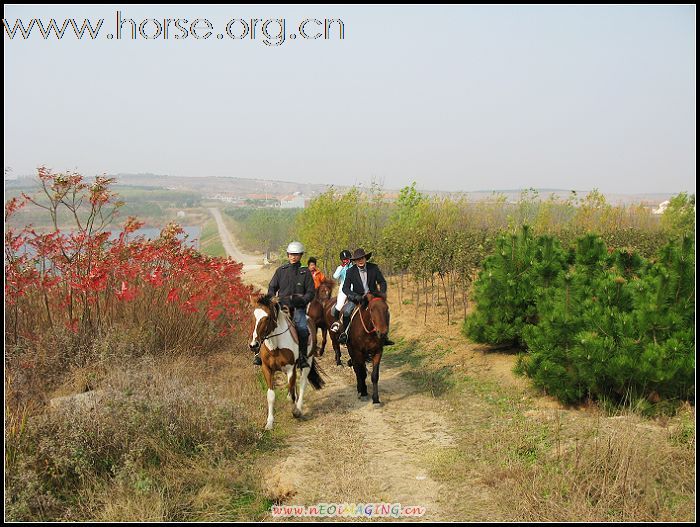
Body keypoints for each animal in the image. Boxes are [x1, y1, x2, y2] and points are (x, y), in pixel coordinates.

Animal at [249, 294, 326, 432]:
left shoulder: (291, 368)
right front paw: (269, 423)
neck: (275, 346)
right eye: (253, 316)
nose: (254, 345)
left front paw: (295, 411)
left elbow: (291, 395)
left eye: (267, 318)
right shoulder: (267, 369)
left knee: (302, 383)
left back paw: (299, 408)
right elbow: (271, 395)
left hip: (308, 361)